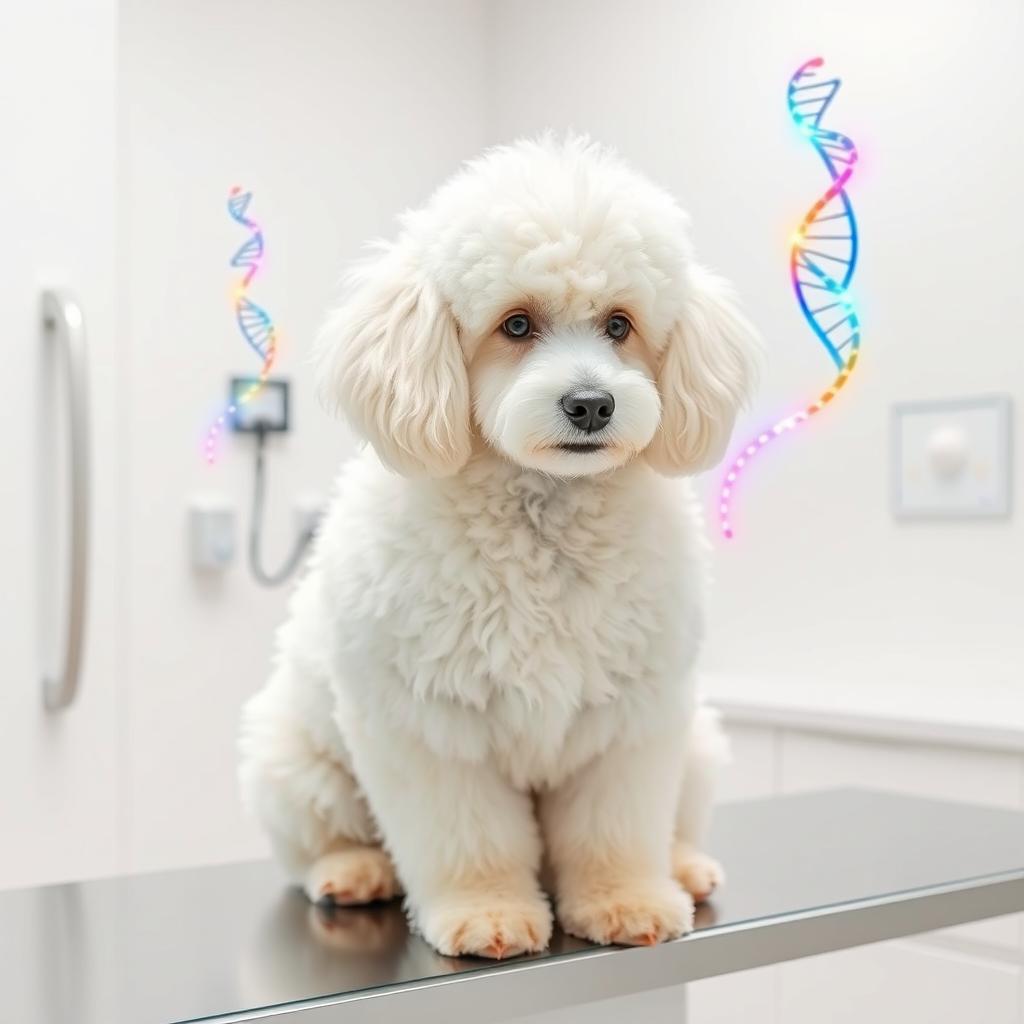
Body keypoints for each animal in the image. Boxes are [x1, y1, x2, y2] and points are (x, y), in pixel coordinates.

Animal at [239, 136, 761, 958]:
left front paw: (626, 900)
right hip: (290, 764)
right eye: (516, 325)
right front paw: (486, 912)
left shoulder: (632, 720)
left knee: (674, 821)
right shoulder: (430, 725)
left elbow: (616, 829)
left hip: (700, 744)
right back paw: (353, 871)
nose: (591, 403)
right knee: (319, 843)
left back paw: (684, 865)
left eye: (619, 324)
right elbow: (468, 837)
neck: (542, 516)